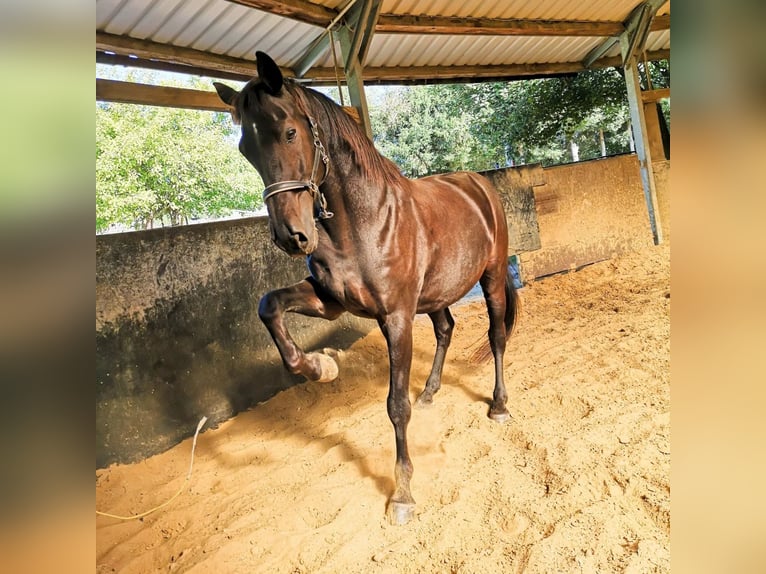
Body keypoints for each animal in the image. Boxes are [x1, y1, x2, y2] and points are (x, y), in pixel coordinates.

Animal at [213, 53, 520, 528]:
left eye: (289, 132)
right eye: (246, 149)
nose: (291, 236)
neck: (363, 223)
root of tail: (478, 184)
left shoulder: (396, 318)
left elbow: (395, 405)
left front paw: (403, 494)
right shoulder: (330, 302)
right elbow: (269, 306)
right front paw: (321, 366)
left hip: (490, 277)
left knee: (497, 336)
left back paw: (499, 406)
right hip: (434, 295)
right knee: (446, 329)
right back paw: (429, 392)